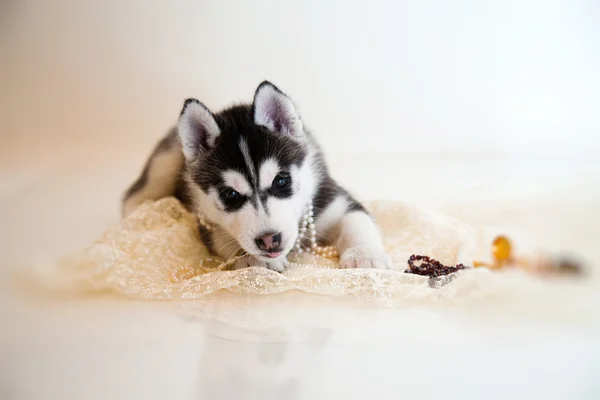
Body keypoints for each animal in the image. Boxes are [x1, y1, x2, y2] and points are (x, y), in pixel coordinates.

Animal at [124, 81, 392, 272]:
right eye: (230, 194)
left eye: (281, 181)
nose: (269, 240)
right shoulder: (205, 220)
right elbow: (222, 237)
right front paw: (252, 257)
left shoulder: (334, 199)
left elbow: (357, 222)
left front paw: (365, 255)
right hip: (165, 161)